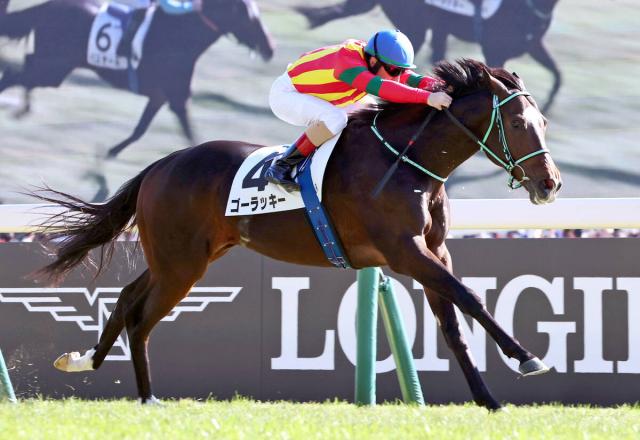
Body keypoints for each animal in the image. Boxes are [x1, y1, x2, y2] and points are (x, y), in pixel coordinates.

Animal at [0, 0, 274, 157]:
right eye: (251, 18)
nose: (270, 48)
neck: (182, 35)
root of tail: (46, 7)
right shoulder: (176, 98)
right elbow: (190, 135)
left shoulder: (161, 96)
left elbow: (139, 130)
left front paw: (110, 152)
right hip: (53, 68)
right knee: (15, 74)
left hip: (50, 66)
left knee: (24, 67)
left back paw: (23, 108)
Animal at [35, 59, 562, 409]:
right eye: (518, 122)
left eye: (543, 122)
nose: (550, 184)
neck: (406, 161)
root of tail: (162, 165)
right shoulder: (404, 251)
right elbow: (469, 297)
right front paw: (527, 357)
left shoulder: (434, 251)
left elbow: (453, 325)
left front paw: (488, 399)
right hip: (180, 264)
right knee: (141, 319)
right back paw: (146, 399)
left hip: (183, 257)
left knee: (127, 299)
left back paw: (85, 362)